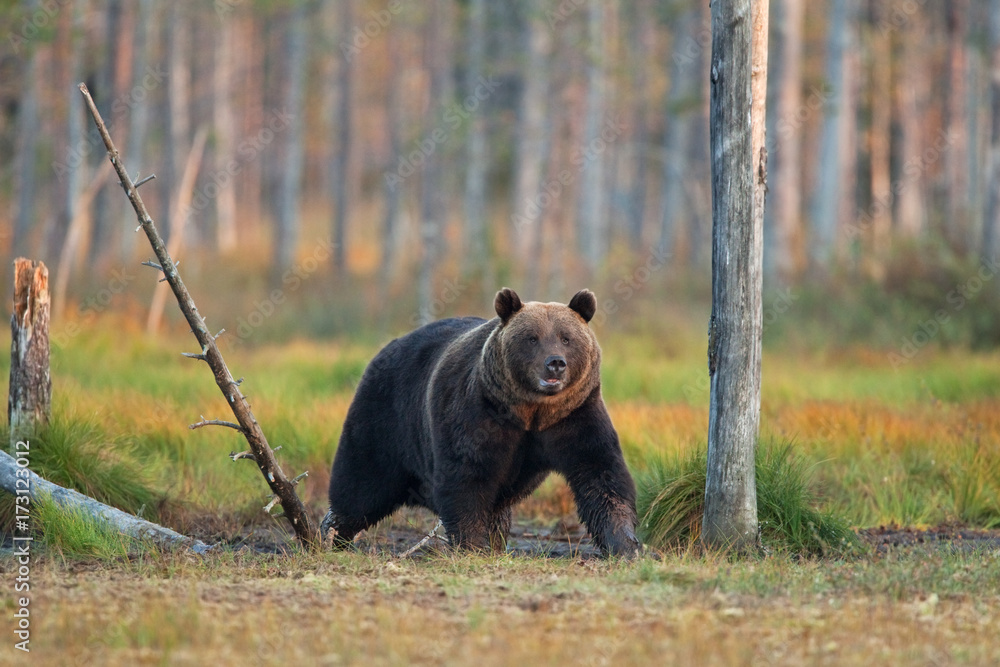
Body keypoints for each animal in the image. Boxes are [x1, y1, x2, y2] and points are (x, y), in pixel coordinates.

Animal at [321, 288, 639, 557]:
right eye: (532, 337)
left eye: (566, 337)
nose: (555, 363)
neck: (531, 411)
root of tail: (386, 348)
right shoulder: (479, 412)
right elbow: (467, 474)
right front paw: (472, 544)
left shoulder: (574, 415)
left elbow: (601, 473)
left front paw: (625, 544)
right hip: (385, 417)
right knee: (362, 484)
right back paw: (332, 533)